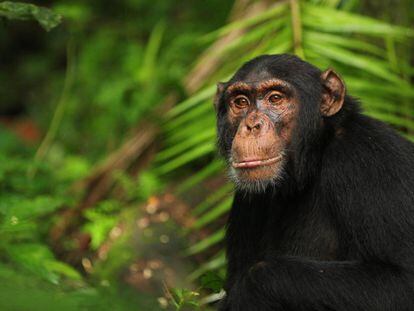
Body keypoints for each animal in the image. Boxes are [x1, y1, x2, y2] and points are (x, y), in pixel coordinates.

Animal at [215, 54, 414, 311]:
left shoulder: (371, 161)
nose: (251, 125)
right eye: (240, 102)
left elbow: (401, 283)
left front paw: (249, 288)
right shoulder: (245, 201)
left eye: (275, 98)